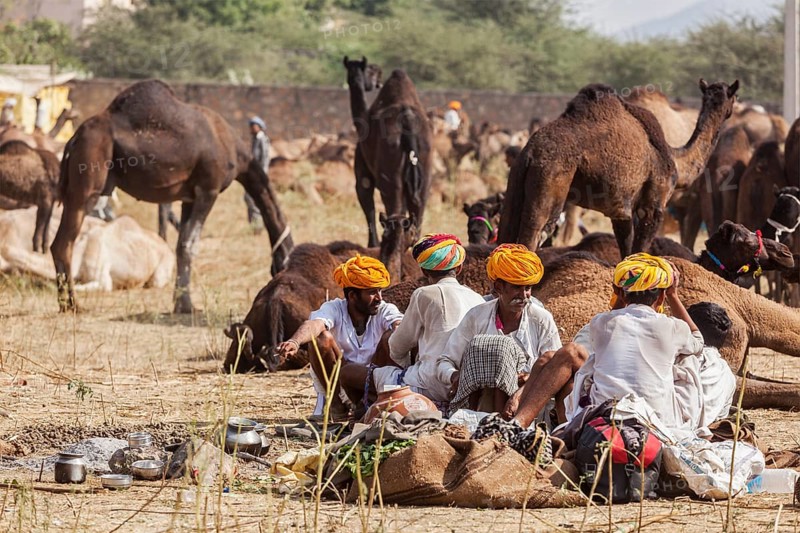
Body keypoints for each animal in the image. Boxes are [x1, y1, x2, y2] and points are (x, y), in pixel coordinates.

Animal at [51, 79, 293, 314]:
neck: (236, 151)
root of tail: (73, 138)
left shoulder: (190, 198)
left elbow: (180, 245)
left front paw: (182, 303)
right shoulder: (209, 189)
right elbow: (190, 245)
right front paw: (186, 305)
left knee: (58, 243)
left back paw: (65, 303)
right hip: (87, 183)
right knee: (64, 243)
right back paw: (73, 305)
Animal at [343, 56, 433, 282]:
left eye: (373, 71)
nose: (376, 82)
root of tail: (407, 123)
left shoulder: (362, 175)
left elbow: (369, 208)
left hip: (390, 176)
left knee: (394, 210)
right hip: (426, 169)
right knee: (417, 212)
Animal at [500, 80, 739, 258]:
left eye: (723, 95)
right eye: (733, 96)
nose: (728, 109)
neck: (676, 159)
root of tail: (530, 153)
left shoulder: (621, 213)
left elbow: (626, 254)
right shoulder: (653, 205)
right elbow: (640, 251)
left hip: (516, 183)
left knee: (506, 233)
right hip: (551, 180)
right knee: (534, 234)